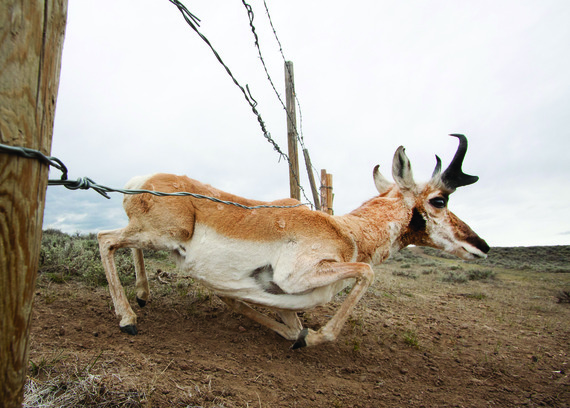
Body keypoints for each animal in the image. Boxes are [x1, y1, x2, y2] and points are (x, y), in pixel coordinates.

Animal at [98, 134, 488, 348]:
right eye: (439, 200)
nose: (482, 246)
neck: (347, 230)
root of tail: (141, 180)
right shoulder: (297, 277)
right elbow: (365, 272)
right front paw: (311, 339)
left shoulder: (283, 297)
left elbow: (282, 321)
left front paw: (296, 337)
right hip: (164, 233)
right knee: (105, 238)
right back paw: (128, 318)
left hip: (156, 235)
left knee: (124, 243)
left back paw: (143, 294)